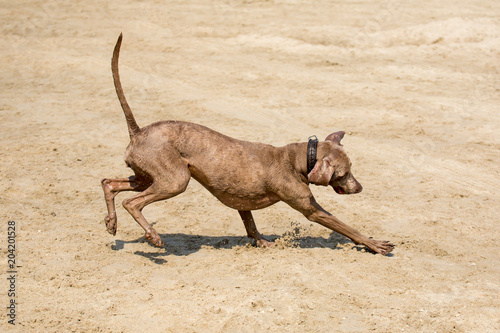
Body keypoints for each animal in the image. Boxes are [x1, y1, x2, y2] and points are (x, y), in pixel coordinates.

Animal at [100, 34, 394, 254]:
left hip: (147, 177)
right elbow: (346, 227)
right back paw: (153, 236)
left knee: (109, 184)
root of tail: (138, 132)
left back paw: (111, 223)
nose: (360, 187)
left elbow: (251, 225)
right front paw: (375, 244)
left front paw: (263, 242)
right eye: (345, 173)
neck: (297, 158)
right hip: (175, 181)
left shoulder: (243, 201)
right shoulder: (310, 209)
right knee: (132, 203)